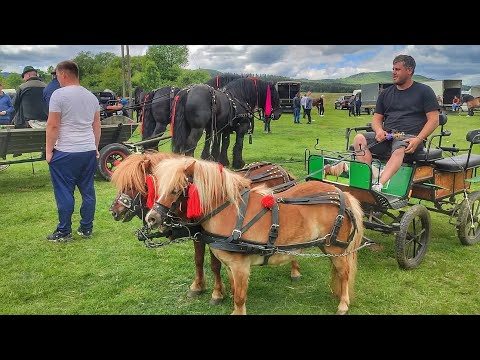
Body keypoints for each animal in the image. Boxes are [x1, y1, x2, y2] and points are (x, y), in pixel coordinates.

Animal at [110, 151, 302, 304]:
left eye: (132, 185)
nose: (113, 211)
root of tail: (281, 169)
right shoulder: (197, 235)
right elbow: (198, 260)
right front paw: (198, 286)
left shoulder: (213, 237)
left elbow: (214, 264)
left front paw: (217, 293)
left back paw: (295, 271)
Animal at [146, 156, 364, 314]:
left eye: (176, 190)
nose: (151, 218)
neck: (229, 211)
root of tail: (343, 194)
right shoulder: (230, 265)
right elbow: (234, 289)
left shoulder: (240, 266)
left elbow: (240, 296)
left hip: (336, 249)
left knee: (345, 274)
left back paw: (343, 304)